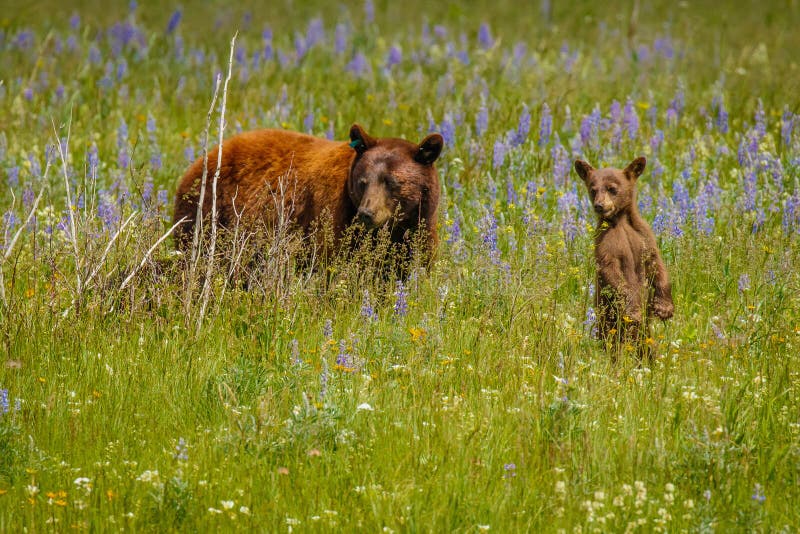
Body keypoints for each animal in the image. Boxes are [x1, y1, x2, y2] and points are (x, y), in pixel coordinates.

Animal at [173, 124, 444, 268]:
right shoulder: (332, 217)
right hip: (207, 215)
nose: (366, 214)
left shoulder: (419, 229)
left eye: (391, 182)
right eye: (362, 182)